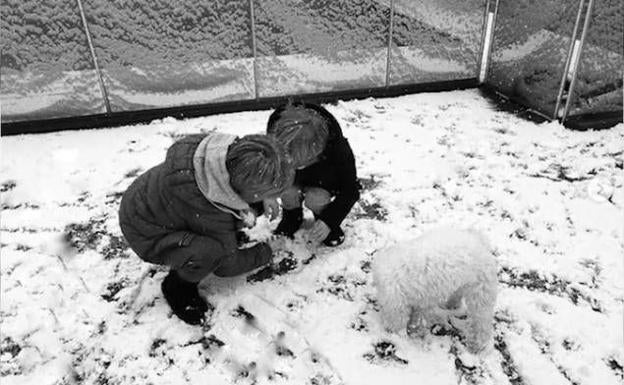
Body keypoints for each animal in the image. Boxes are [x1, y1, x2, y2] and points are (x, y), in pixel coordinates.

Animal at [372, 226, 500, 352]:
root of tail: (480, 241)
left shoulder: (399, 302)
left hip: (480, 294)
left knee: (481, 323)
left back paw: (476, 345)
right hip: (462, 284)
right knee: (457, 295)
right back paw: (450, 305)